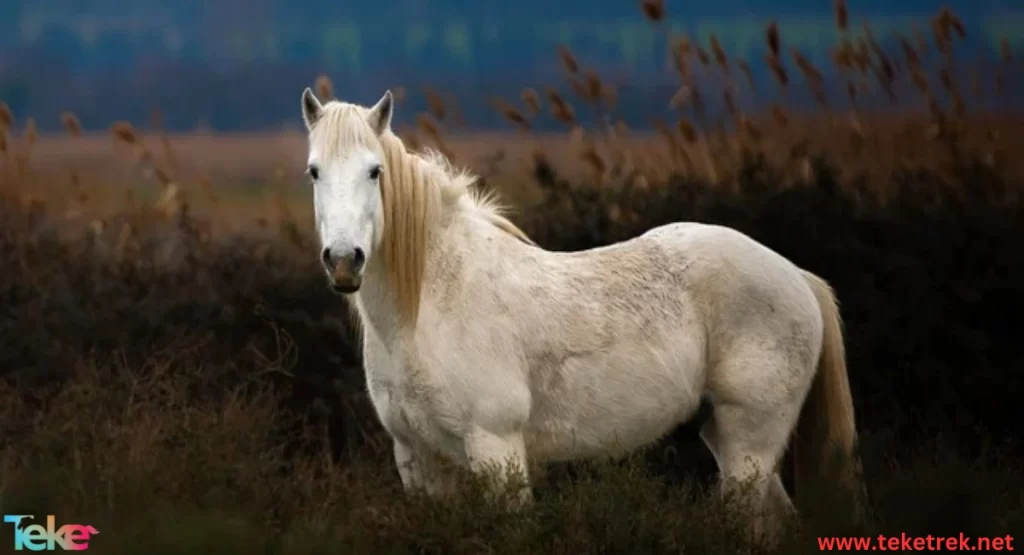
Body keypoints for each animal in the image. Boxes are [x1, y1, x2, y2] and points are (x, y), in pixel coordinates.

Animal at [299, 89, 864, 540]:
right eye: (314, 172)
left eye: (375, 171)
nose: (344, 260)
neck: (429, 306)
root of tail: (797, 275)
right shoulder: (418, 461)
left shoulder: (496, 449)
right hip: (729, 438)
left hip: (750, 444)